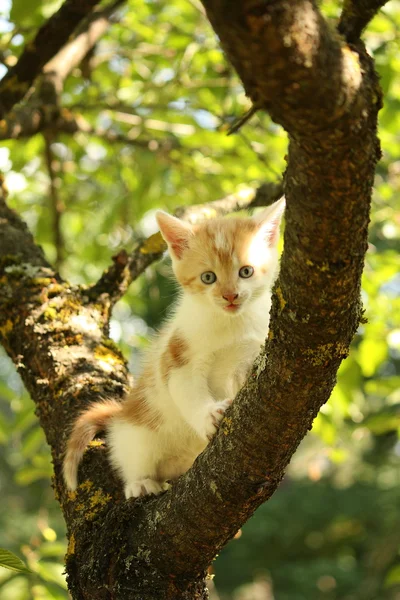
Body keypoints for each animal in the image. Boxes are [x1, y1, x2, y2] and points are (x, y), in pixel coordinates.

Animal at [63, 199, 284, 500]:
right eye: (208, 277)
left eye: (246, 271)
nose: (230, 296)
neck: (229, 323)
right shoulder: (177, 355)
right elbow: (186, 390)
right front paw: (208, 416)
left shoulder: (249, 350)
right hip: (136, 433)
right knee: (132, 457)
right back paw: (140, 483)